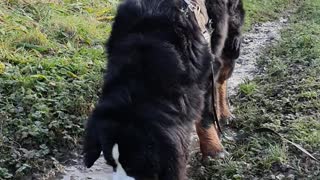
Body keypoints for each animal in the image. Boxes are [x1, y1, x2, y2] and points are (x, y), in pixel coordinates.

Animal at [84, 0, 244, 179]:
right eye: (110, 163)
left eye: (134, 167)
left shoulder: (203, 73)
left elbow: (205, 117)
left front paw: (213, 151)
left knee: (223, 75)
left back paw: (224, 112)